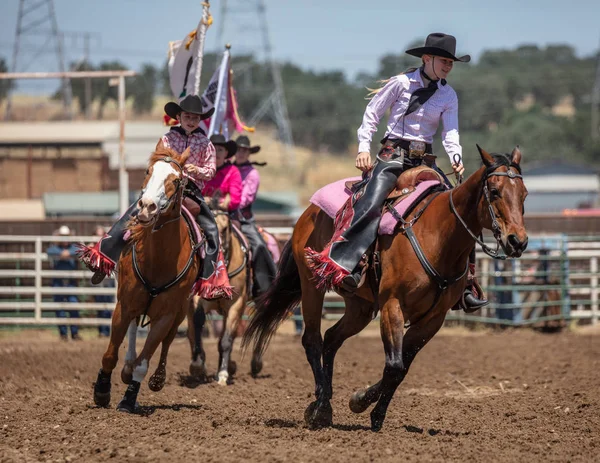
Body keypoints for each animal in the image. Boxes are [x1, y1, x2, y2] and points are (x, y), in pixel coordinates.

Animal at [91, 146, 199, 414]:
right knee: (131, 331)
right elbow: (110, 354)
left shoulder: (165, 316)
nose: (147, 206)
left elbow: (144, 362)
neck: (158, 259)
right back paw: (126, 367)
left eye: (177, 180)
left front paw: (129, 400)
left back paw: (157, 378)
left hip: (181, 311)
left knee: (167, 342)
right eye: (148, 171)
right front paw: (102, 391)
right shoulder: (124, 305)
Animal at [186, 198, 264, 386]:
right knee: (191, 332)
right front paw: (198, 365)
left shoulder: (236, 304)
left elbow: (226, 340)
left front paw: (222, 374)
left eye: (225, 228)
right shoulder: (196, 300)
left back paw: (254, 364)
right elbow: (197, 326)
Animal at [241, 147, 528, 434]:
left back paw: (326, 401)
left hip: (361, 307)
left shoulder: (433, 319)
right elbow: (394, 364)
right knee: (312, 340)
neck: (438, 237)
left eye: (524, 194)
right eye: (494, 191)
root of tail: (308, 212)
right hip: (312, 285)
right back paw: (320, 409)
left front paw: (364, 404)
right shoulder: (393, 305)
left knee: (332, 338)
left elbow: (401, 368)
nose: (518, 241)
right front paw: (368, 409)